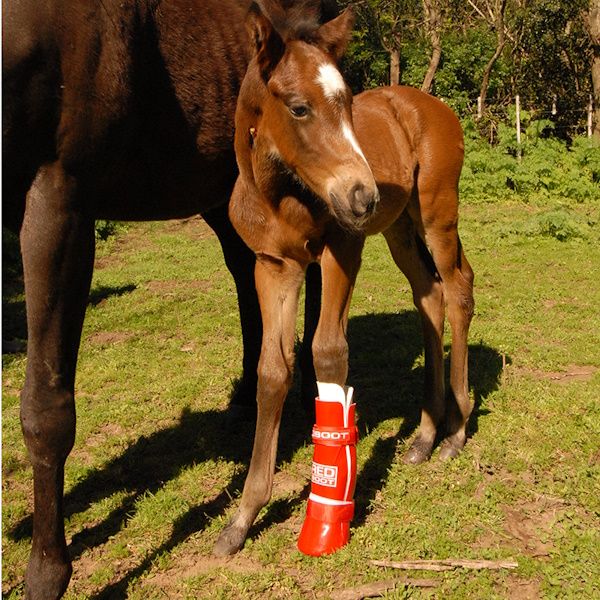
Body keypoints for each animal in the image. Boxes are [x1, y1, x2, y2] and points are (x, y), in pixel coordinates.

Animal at [213, 5, 476, 556]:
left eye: (349, 104)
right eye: (298, 108)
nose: (363, 195)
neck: (281, 195)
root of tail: (433, 105)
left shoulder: (342, 250)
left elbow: (328, 351)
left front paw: (329, 510)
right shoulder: (273, 266)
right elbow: (273, 369)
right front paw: (243, 517)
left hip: (437, 213)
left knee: (459, 287)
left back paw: (457, 431)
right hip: (399, 229)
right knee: (430, 296)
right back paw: (424, 435)